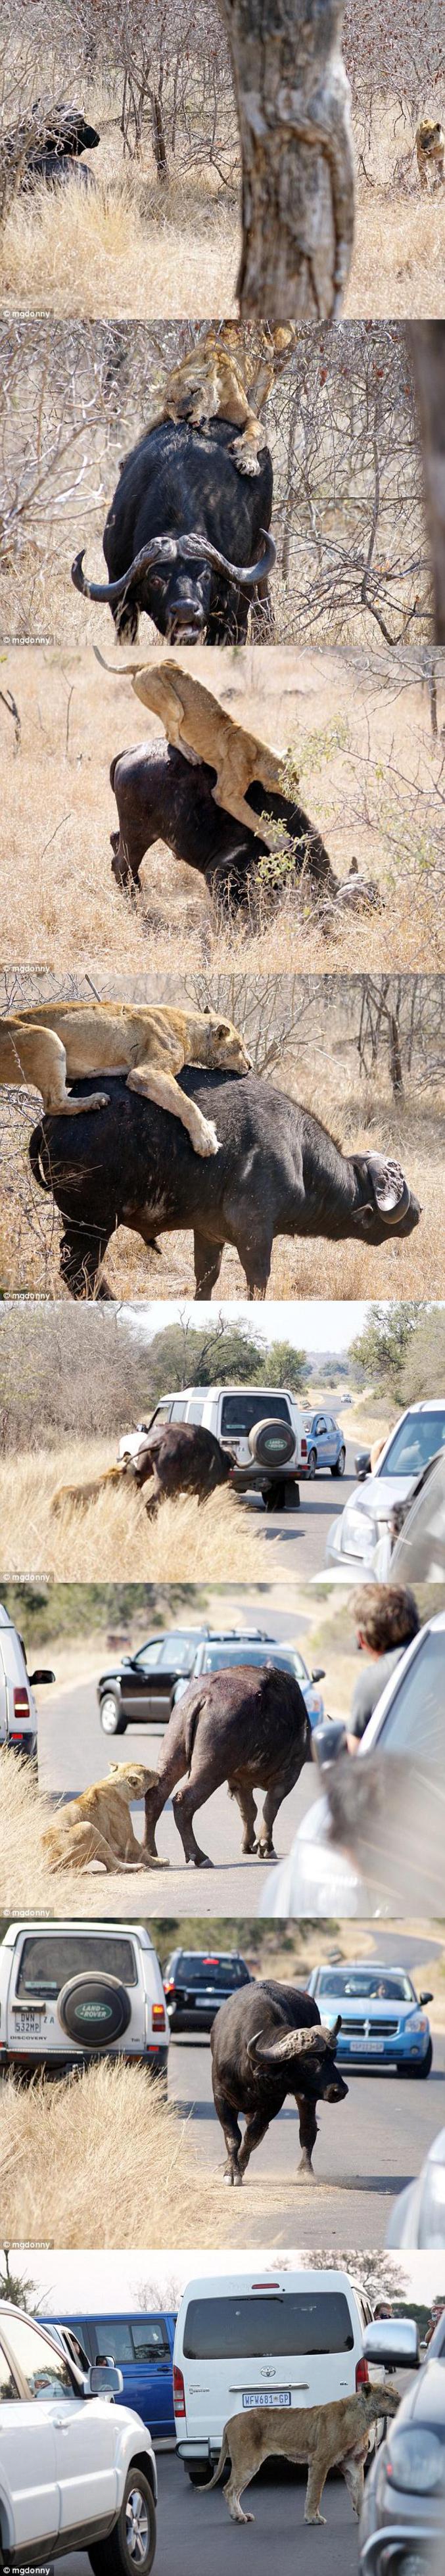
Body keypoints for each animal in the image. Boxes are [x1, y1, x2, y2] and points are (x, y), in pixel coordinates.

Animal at [28, 1071, 421, 1308]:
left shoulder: (207, 1235)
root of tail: (50, 1119)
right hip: (92, 1221)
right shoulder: (255, 1237)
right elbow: (257, 1284)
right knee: (79, 1269)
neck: (298, 1155)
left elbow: (206, 1279)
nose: (418, 1211)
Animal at [141, 1658, 310, 1865]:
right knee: (184, 1800)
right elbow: (269, 1809)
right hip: (213, 1766)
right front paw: (266, 1846)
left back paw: (149, 1851)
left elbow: (249, 1811)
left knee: (157, 1794)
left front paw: (248, 1844)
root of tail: (203, 1695)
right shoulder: (288, 1775)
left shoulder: (239, 1782)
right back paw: (199, 1856)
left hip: (174, 1746)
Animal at [209, 1978, 347, 2184]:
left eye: (333, 2058)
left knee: (307, 2129)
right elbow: (233, 2136)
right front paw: (231, 2171)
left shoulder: (273, 2102)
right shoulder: (220, 2097)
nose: (340, 2090)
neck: (249, 2066)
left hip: (307, 2097)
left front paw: (239, 2168)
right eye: (310, 2062)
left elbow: (252, 2135)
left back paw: (305, 2170)